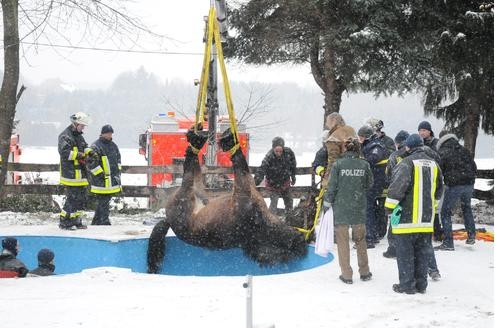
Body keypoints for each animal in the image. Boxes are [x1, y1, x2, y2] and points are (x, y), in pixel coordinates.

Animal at [147, 127, 310, 272]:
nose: (304, 199)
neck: (258, 224)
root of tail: (169, 220)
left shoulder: (243, 188)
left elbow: (240, 165)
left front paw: (230, 142)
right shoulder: (246, 187)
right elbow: (242, 167)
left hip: (186, 194)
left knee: (189, 170)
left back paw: (195, 141)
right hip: (199, 193)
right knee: (196, 171)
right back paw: (196, 135)